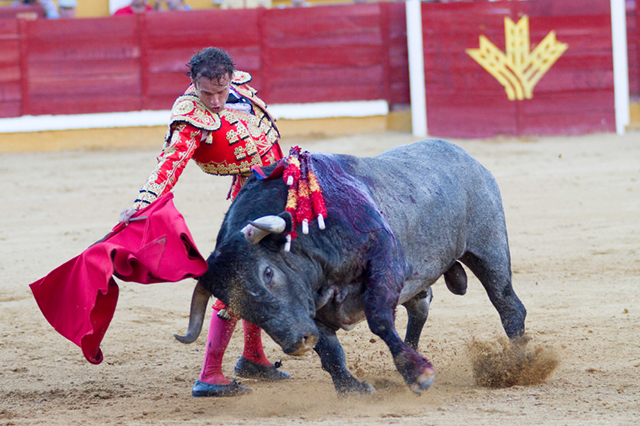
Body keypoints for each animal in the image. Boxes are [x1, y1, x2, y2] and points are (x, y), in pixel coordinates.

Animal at [175, 141, 524, 396]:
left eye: (268, 273)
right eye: (234, 303)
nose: (297, 342)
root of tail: (468, 158)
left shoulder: (385, 257)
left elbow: (379, 319)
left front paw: (419, 374)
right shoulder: (311, 309)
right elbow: (330, 350)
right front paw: (352, 388)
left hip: (488, 249)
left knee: (508, 303)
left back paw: (519, 361)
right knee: (420, 307)